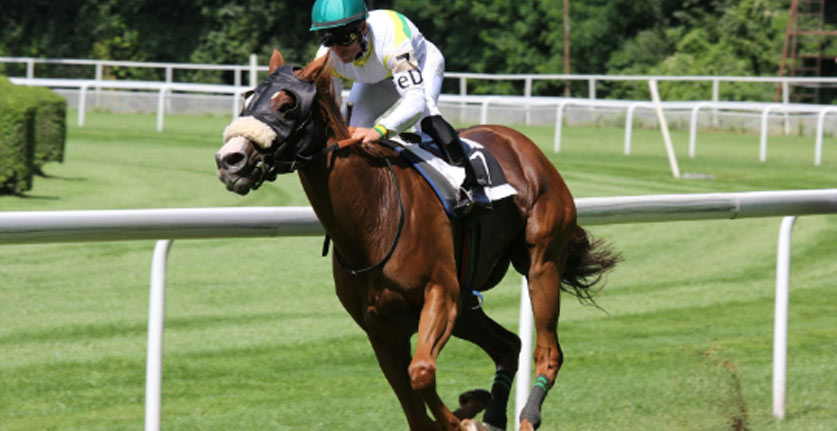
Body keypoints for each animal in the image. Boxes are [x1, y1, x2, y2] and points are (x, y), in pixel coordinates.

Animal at [215, 49, 619, 431]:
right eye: (248, 98)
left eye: (287, 105)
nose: (230, 160)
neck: (374, 216)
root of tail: (521, 143)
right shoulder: (380, 328)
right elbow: (414, 408)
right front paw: (469, 409)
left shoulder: (440, 294)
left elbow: (421, 373)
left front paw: (462, 419)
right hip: (468, 304)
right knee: (508, 345)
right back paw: (491, 415)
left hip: (540, 262)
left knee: (548, 351)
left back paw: (524, 417)